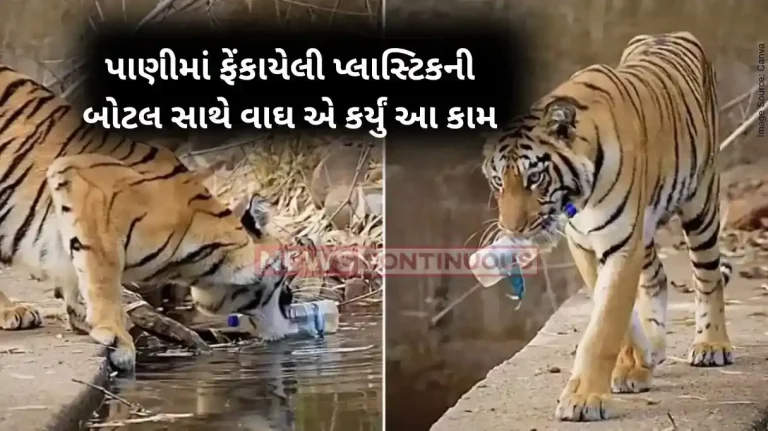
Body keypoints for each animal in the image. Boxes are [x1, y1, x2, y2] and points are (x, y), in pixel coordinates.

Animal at [0, 63, 297, 372]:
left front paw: (82, 317)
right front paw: (116, 337)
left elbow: (75, 272)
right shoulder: (83, 184)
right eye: (286, 289)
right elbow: (102, 275)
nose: (294, 329)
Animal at [481, 31, 733, 422]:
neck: (578, 197)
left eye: (534, 178)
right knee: (657, 276)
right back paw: (654, 349)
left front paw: (584, 399)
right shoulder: (586, 245)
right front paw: (637, 361)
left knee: (708, 277)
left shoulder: (622, 243)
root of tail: (667, 33)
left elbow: (604, 325)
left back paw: (711, 345)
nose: (513, 230)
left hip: (701, 202)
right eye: (497, 182)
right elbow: (616, 312)